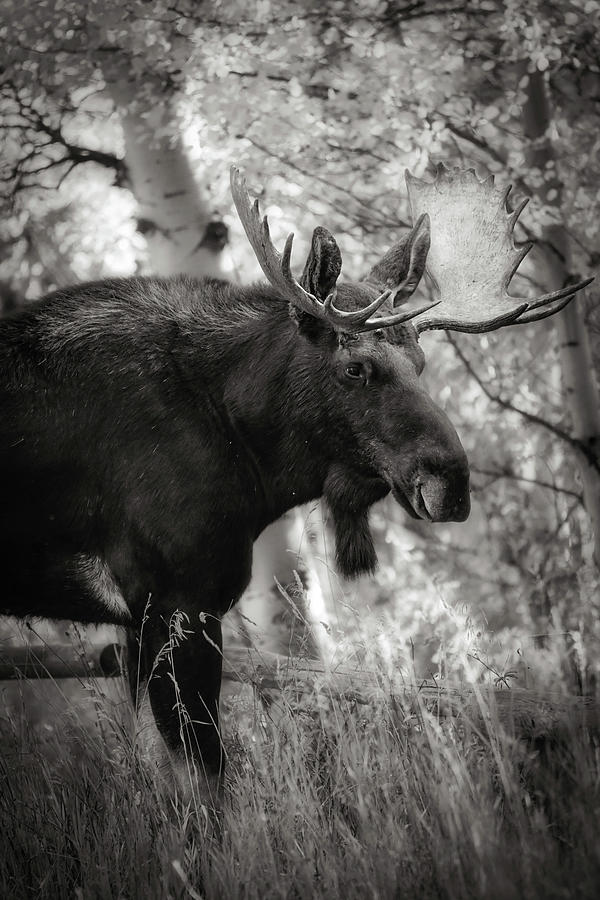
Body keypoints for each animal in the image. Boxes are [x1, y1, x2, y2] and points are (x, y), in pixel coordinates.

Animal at [0, 163, 591, 801]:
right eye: (356, 367)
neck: (251, 465)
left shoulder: (145, 622)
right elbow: (209, 776)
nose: (452, 483)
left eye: (422, 364)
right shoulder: (176, 603)